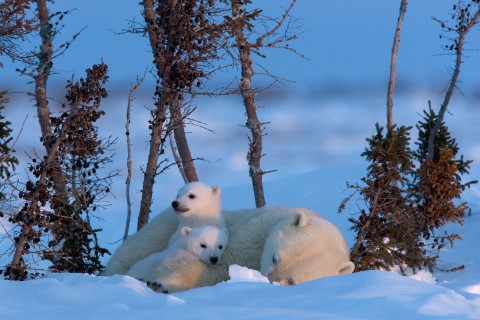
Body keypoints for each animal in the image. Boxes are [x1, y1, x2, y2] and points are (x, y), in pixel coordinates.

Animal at [104, 188, 352, 292]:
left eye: (291, 281)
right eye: (275, 257)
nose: (265, 279)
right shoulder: (257, 231)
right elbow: (219, 261)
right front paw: (159, 283)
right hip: (164, 224)